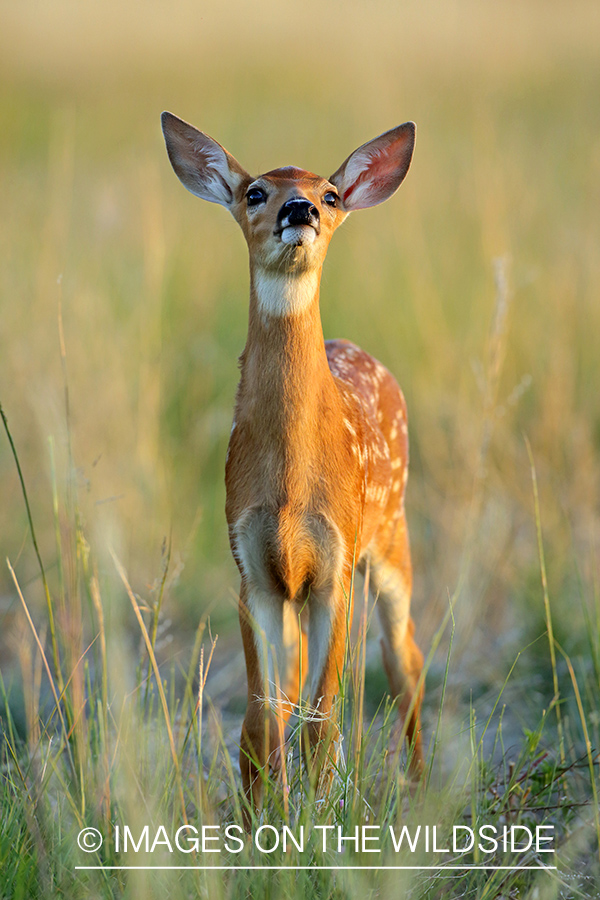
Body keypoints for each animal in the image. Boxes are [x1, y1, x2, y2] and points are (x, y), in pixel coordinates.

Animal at [161, 111, 425, 821]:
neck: (288, 486)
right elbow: (263, 715)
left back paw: (421, 785)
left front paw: (323, 810)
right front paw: (264, 817)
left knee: (407, 659)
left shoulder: (335, 563)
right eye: (255, 192)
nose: (300, 208)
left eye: (330, 195)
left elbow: (323, 713)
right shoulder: (252, 568)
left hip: (390, 535)